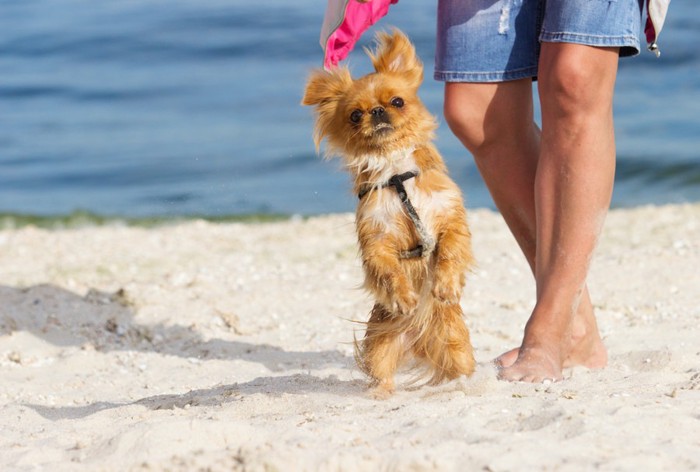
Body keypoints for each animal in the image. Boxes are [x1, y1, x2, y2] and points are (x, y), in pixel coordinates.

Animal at [302, 30, 476, 398]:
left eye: (397, 102)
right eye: (355, 115)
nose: (378, 111)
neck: (397, 174)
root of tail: (418, 340)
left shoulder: (449, 218)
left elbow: (450, 252)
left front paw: (445, 286)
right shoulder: (377, 240)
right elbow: (389, 271)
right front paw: (404, 298)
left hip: (455, 344)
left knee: (460, 367)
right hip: (381, 344)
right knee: (382, 371)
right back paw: (380, 393)